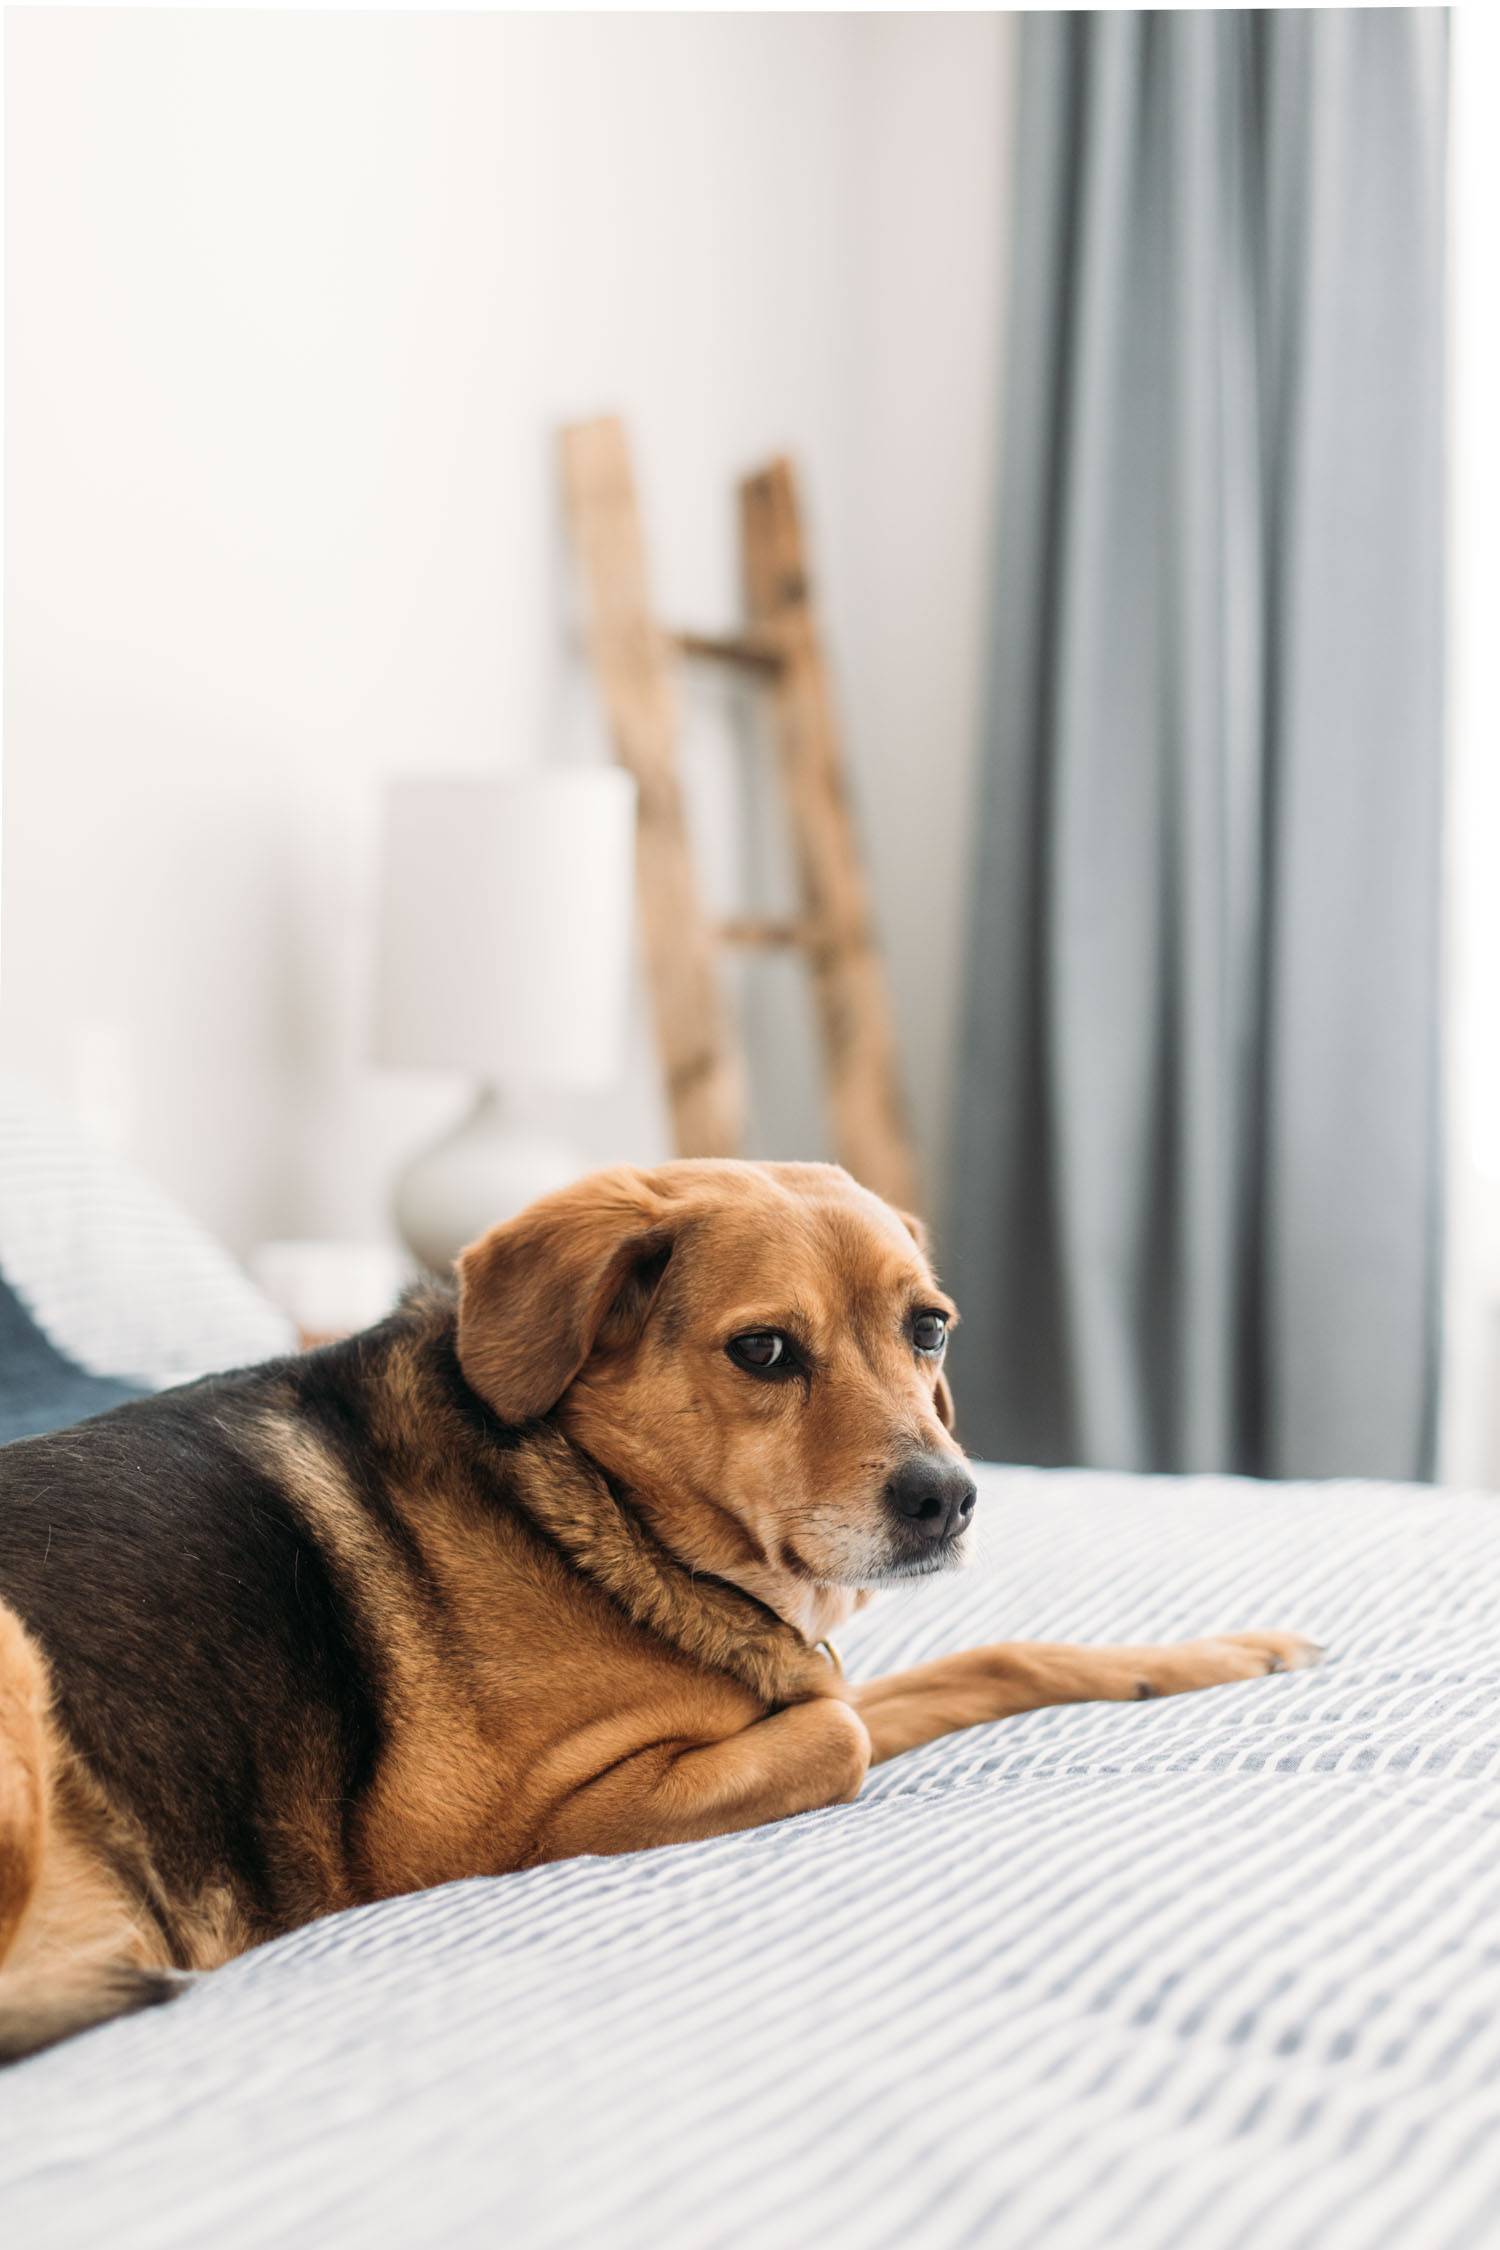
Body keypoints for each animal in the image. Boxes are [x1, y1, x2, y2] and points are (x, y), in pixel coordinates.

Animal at [0, 1170, 1313, 2061]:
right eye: (766, 1350)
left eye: (929, 1327)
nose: (950, 1500)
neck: (606, 1509)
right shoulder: (506, 1829)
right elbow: (842, 1734)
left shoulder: (793, 1670)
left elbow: (983, 1662)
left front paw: (1206, 1656)